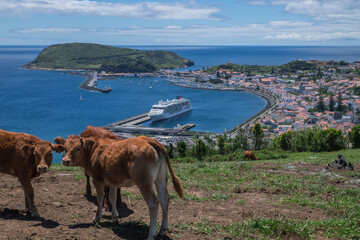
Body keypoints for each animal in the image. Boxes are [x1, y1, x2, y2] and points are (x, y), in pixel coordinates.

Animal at [54, 136, 184, 239]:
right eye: (65, 148)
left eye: (78, 148)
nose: (65, 160)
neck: (93, 150)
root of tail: (148, 139)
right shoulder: (112, 181)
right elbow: (112, 197)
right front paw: (115, 217)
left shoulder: (97, 179)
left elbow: (100, 198)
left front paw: (97, 217)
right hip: (160, 179)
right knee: (164, 198)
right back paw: (162, 230)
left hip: (144, 182)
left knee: (153, 203)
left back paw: (151, 235)